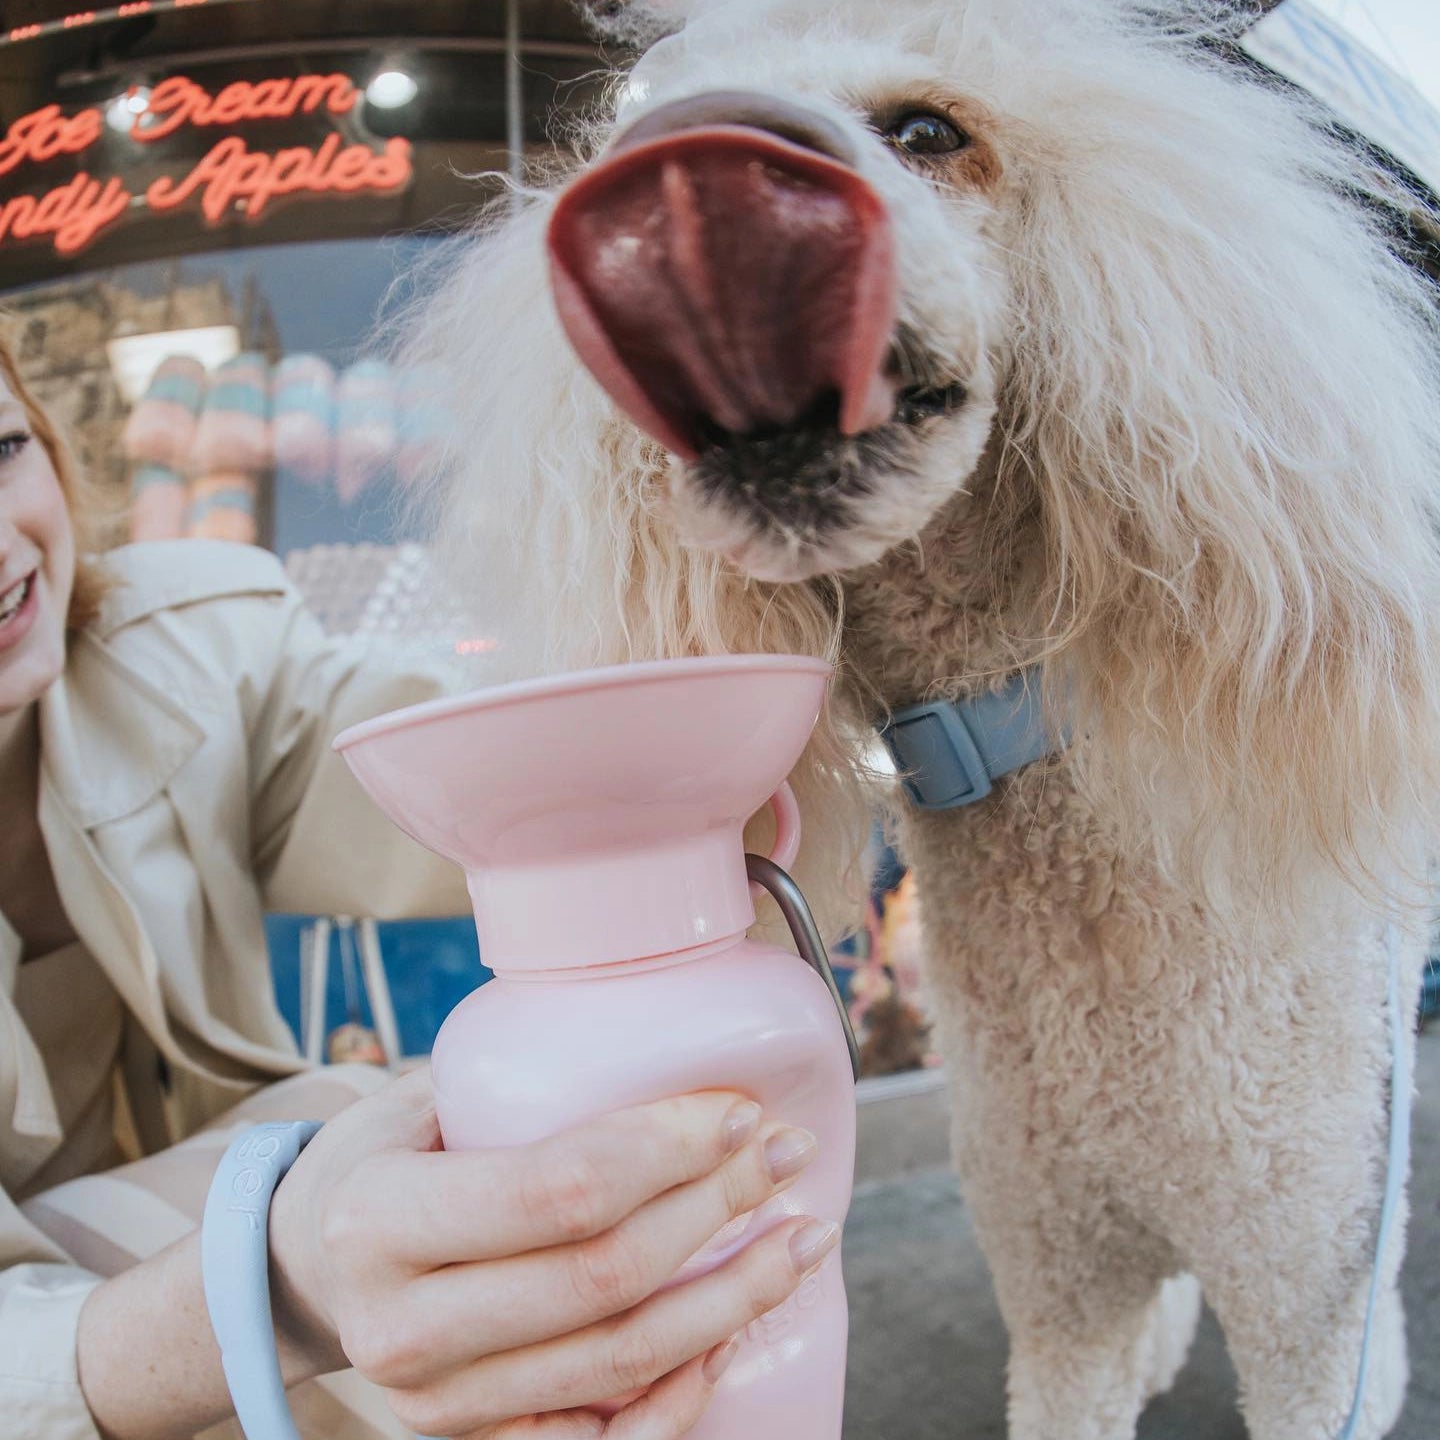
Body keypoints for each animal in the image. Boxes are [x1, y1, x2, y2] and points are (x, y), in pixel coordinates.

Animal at [403, 2, 1440, 1440]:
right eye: (620, 133)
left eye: (932, 130)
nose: (683, 187)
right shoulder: (1055, 1280)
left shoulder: (1304, 1299)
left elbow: (1322, 1342)